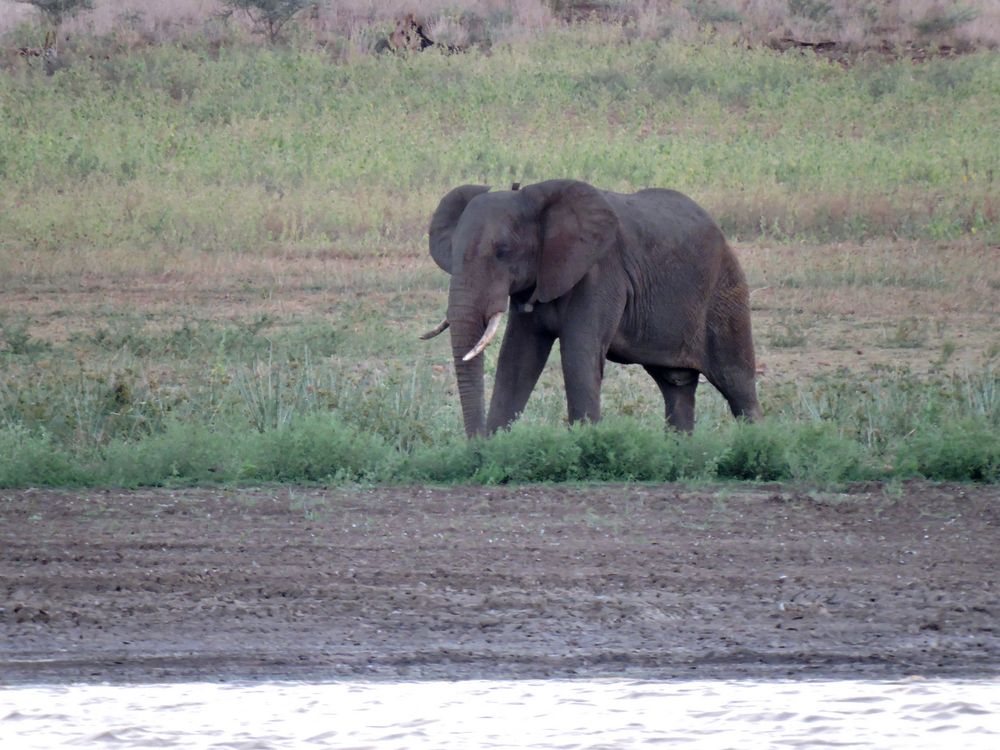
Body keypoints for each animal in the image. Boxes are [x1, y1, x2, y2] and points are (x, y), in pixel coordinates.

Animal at [418, 181, 760, 438]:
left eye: (503, 252)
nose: (475, 442)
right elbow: (517, 358)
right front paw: (493, 449)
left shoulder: (601, 274)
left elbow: (578, 354)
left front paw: (584, 446)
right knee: (676, 388)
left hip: (726, 294)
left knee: (737, 383)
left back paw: (755, 444)